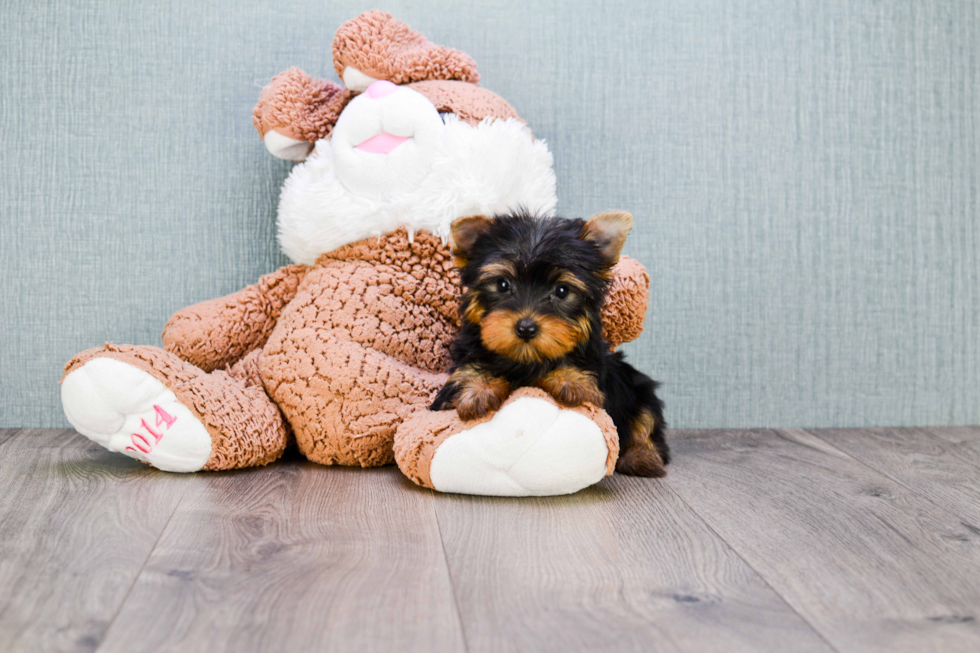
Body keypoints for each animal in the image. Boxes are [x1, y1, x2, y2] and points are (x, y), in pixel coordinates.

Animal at [432, 211, 668, 476]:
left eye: (562, 290)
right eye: (503, 284)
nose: (526, 328)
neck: (524, 359)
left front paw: (571, 380)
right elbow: (468, 371)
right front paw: (478, 388)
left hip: (640, 390)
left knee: (646, 422)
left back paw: (642, 456)